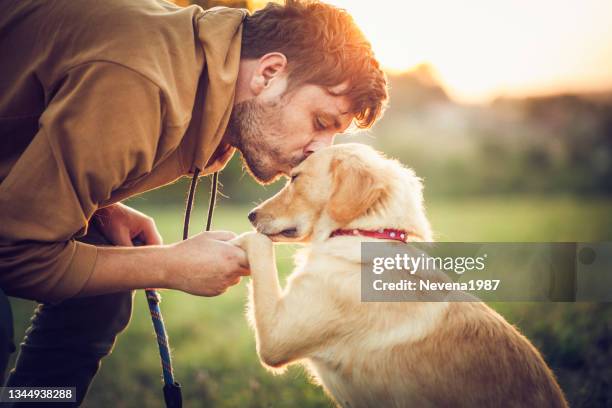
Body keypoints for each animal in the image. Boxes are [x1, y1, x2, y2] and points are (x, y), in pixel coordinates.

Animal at [232, 143, 568, 408]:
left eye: (295, 178)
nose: (250, 215)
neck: (363, 232)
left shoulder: (276, 338)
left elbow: (259, 246)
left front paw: (235, 240)